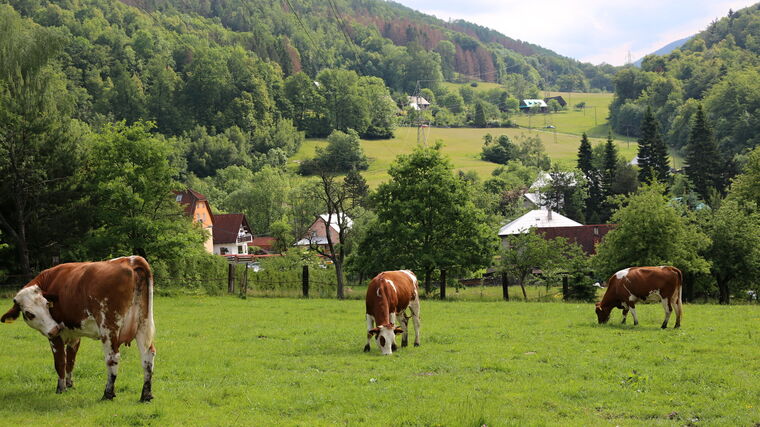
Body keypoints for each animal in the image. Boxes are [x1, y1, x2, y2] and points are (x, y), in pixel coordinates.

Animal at [1, 258, 156, 402]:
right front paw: (70, 385)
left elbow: (60, 362)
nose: (54, 328)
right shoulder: (74, 335)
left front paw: (61, 388)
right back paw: (146, 395)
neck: (50, 280)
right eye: (29, 313)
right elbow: (71, 360)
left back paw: (108, 394)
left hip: (108, 328)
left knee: (113, 358)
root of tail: (130, 260)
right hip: (143, 325)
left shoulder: (55, 337)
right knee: (147, 356)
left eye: (47, 305)